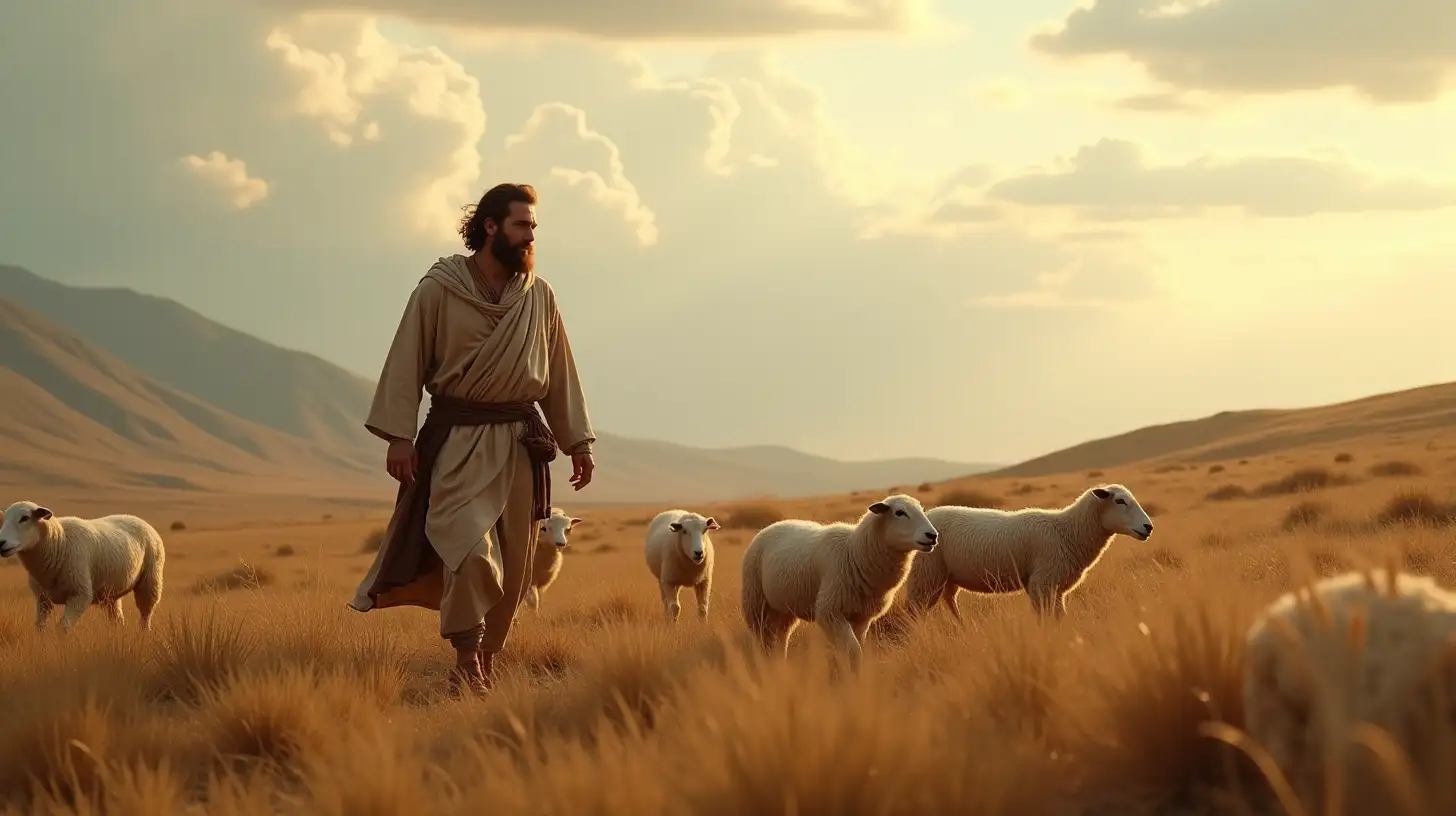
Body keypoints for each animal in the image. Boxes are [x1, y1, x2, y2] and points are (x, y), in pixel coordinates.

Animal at [0, 501, 166, 635]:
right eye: (4, 518)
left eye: (25, 518)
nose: (1, 542)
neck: (59, 542)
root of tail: (138, 519)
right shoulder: (42, 600)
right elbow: (40, 628)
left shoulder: (80, 595)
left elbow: (62, 628)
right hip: (111, 593)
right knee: (117, 619)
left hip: (151, 579)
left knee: (145, 614)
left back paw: (143, 634)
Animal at [739, 495, 943, 673]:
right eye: (900, 512)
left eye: (921, 510)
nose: (932, 535)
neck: (854, 553)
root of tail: (773, 525)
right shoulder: (830, 613)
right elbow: (853, 651)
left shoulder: (861, 617)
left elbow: (856, 649)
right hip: (755, 603)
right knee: (759, 640)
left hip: (784, 609)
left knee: (780, 639)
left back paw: (780, 667)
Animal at [902, 480, 1153, 620]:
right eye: (1120, 501)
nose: (1148, 527)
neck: (1068, 532)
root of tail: (927, 516)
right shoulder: (1042, 584)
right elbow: (1046, 620)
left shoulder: (1055, 589)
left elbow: (1060, 618)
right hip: (926, 574)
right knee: (914, 612)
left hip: (945, 577)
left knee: (949, 600)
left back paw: (962, 627)